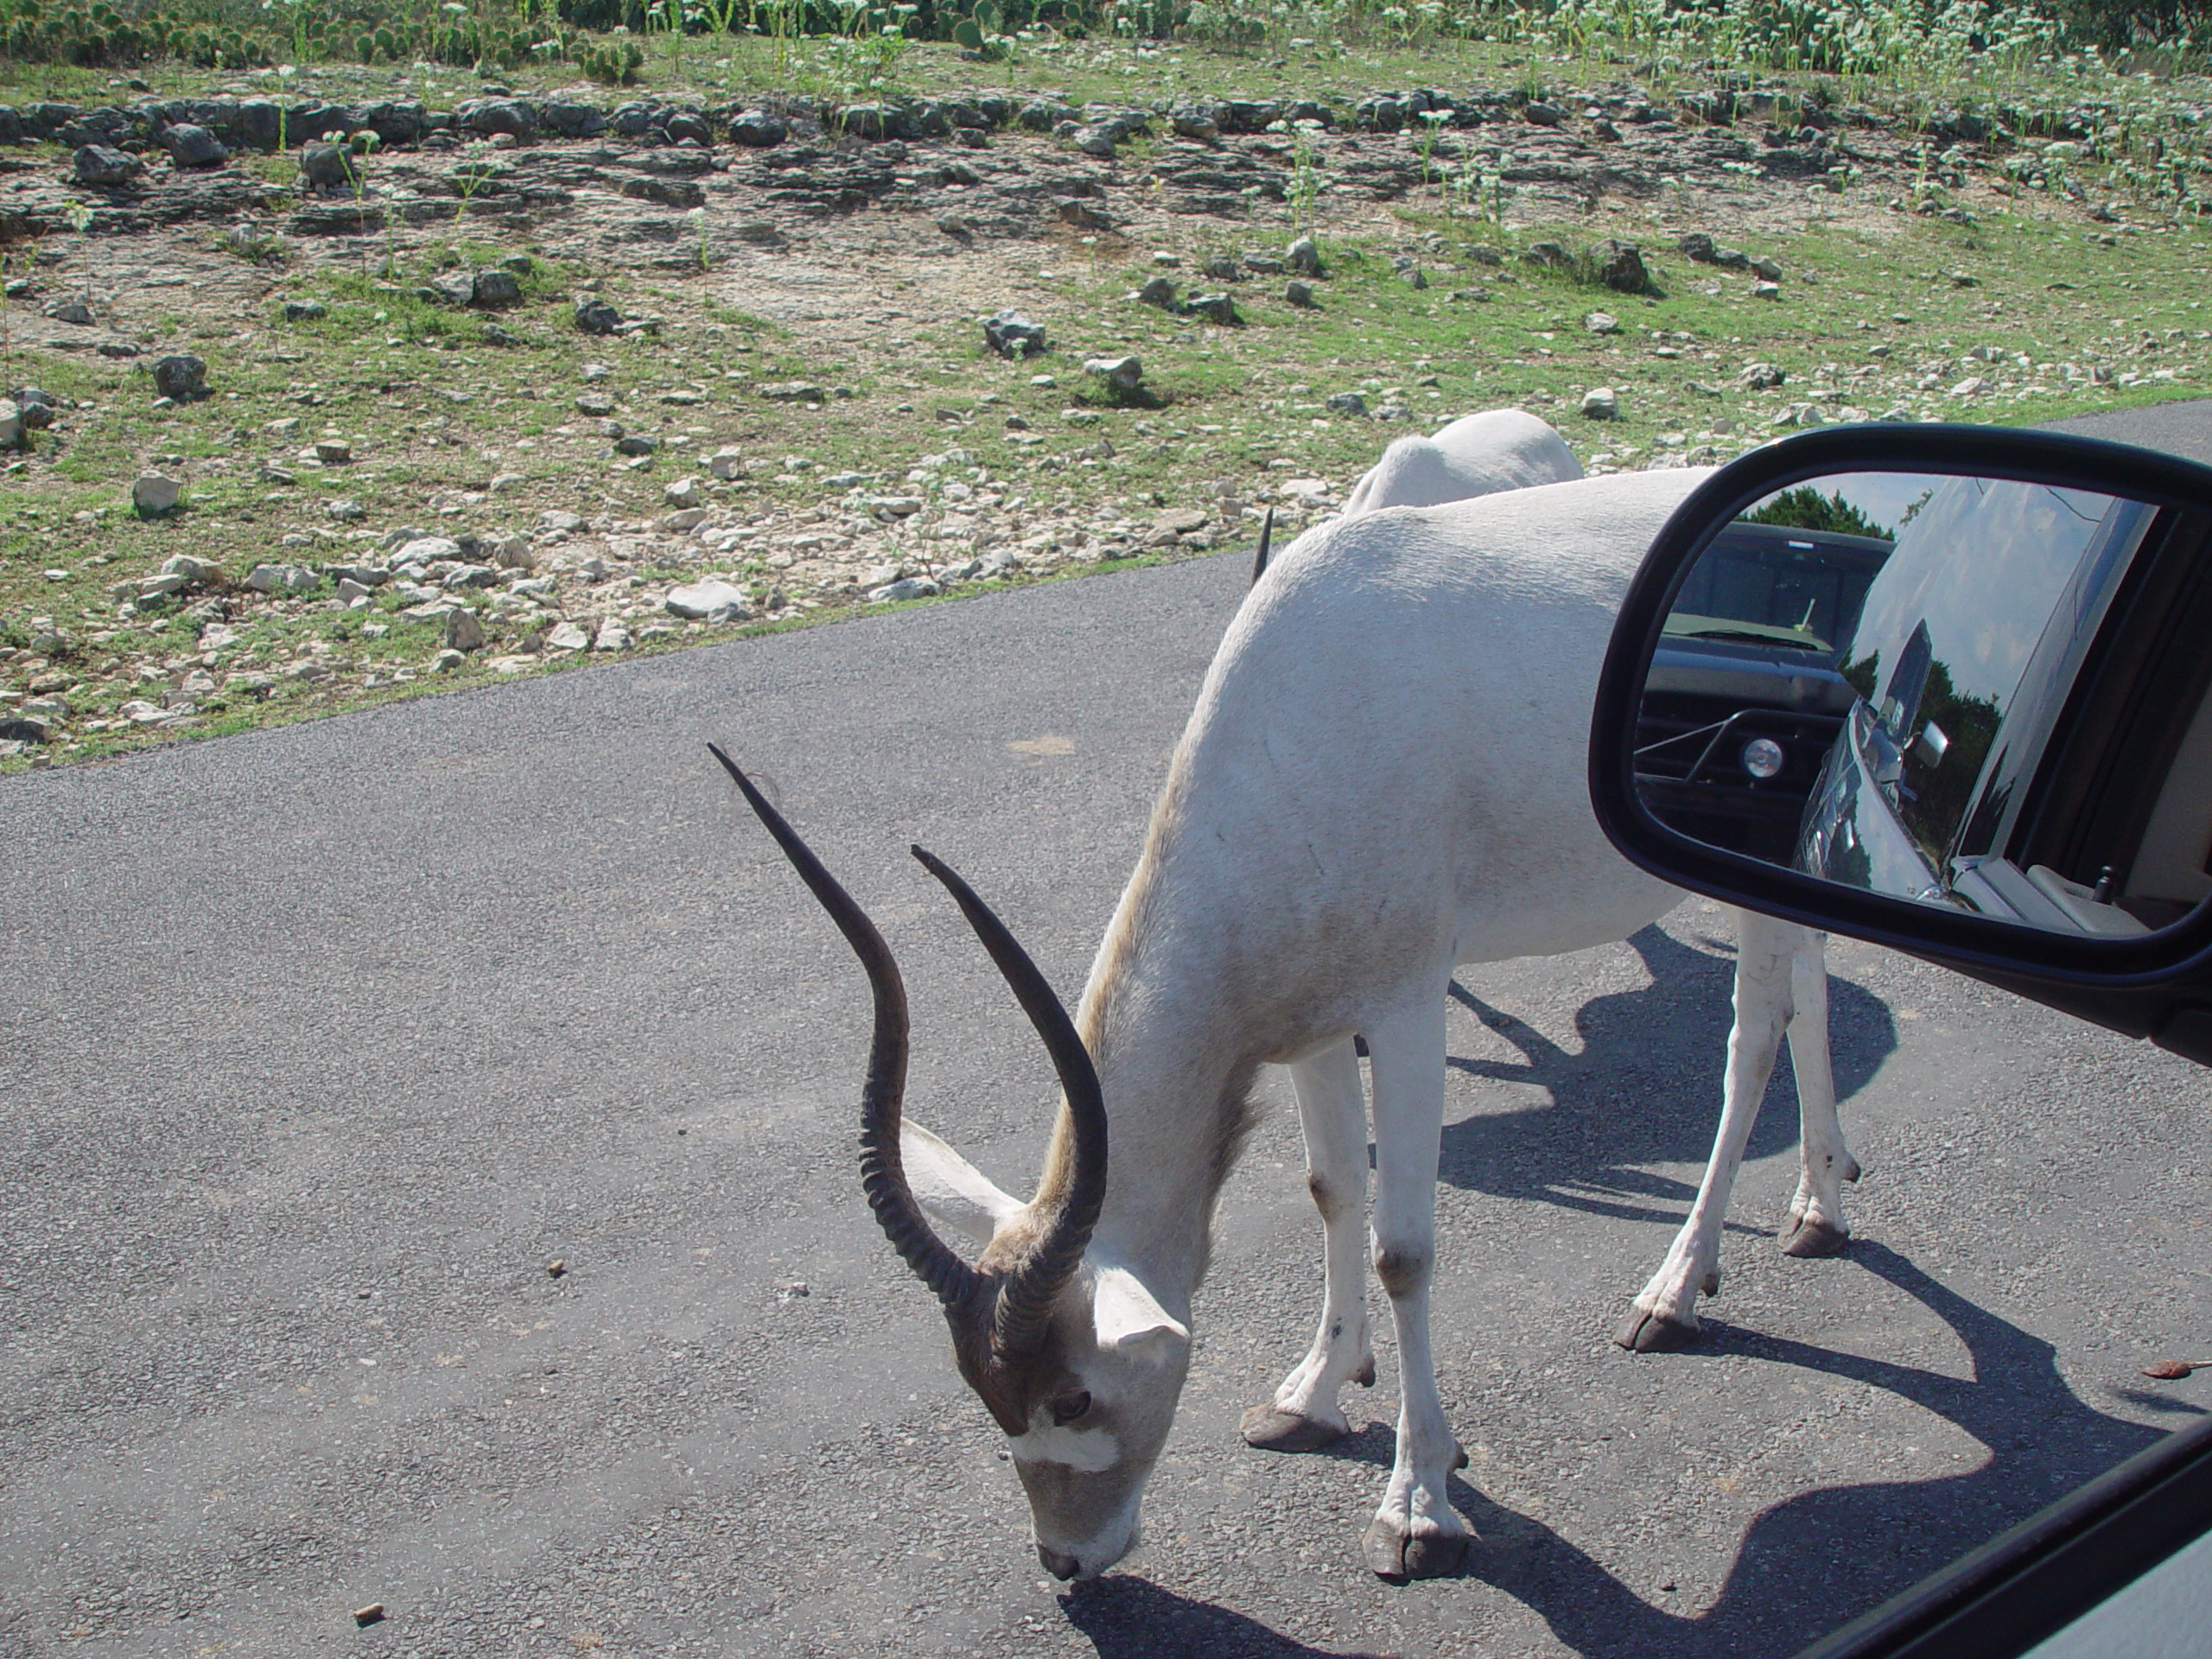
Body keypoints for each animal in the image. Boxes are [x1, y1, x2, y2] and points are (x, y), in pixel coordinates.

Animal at [721, 416, 1849, 1583]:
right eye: (984, 1396)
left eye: (1073, 1395)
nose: (1067, 1563)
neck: (1292, 739)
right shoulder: (1311, 1025)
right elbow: (1331, 1192)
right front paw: (1313, 1393)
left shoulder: (1405, 1010)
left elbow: (1403, 1249)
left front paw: (1416, 1501)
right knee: (1811, 982)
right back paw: (1820, 1205)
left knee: (1753, 1035)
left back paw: (1674, 1290)